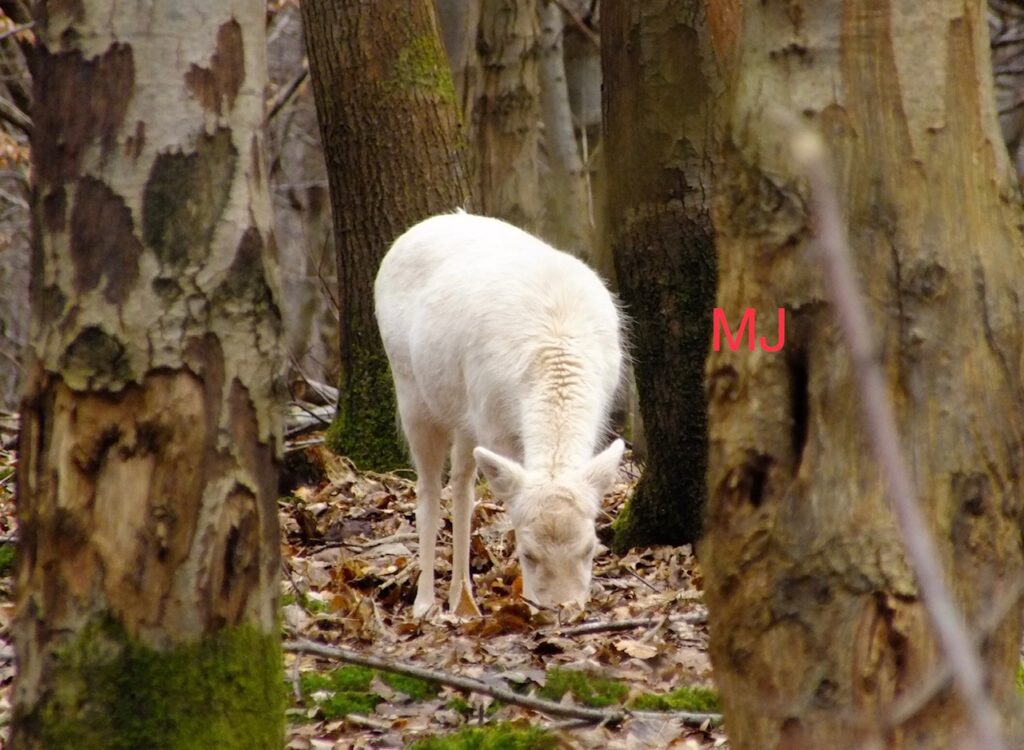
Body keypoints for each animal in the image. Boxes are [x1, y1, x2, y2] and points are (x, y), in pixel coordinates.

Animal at [374, 211, 626, 618]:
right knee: (428, 488)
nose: (563, 609)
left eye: (591, 548)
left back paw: (462, 600)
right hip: (410, 387)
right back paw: (425, 604)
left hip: (464, 413)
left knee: (461, 484)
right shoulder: (494, 424)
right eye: (528, 553)